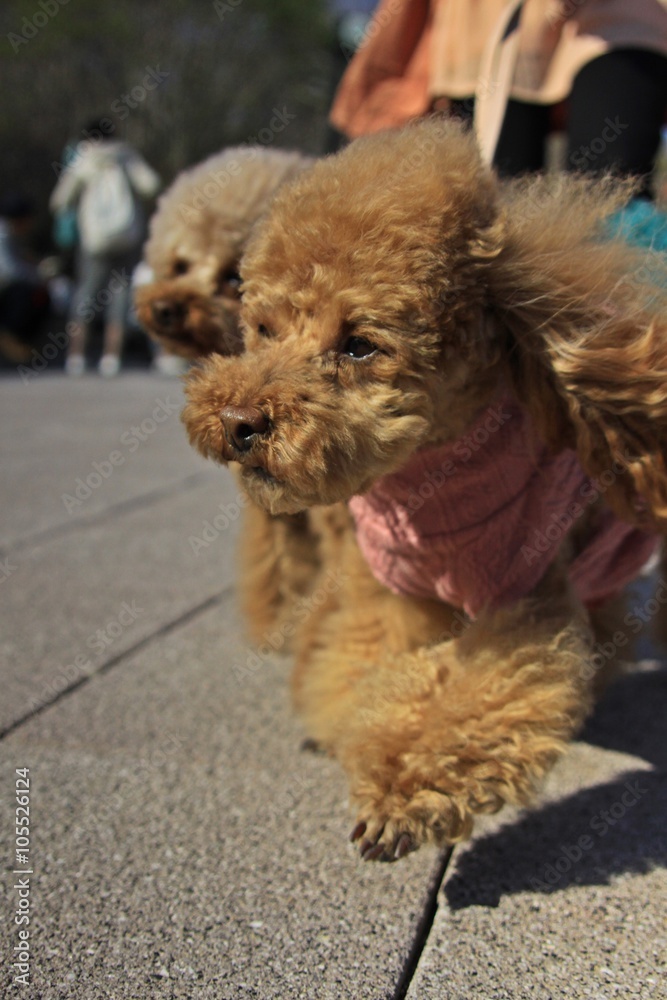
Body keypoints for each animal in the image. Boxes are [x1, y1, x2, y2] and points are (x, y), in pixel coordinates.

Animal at [182, 118, 667, 862]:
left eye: (359, 345)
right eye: (262, 329)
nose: (238, 423)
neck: (430, 489)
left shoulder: (523, 605)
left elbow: (479, 701)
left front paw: (402, 798)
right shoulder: (392, 595)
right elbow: (381, 672)